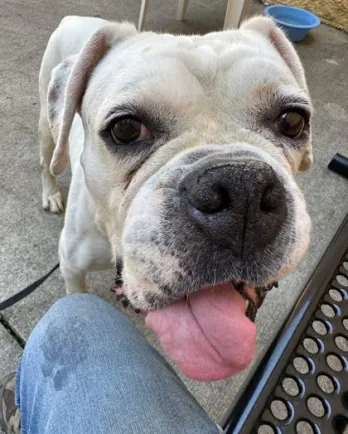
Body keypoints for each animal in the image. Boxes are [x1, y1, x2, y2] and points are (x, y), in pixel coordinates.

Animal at [38, 17, 312, 382]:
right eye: (126, 128)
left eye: (293, 120)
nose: (243, 187)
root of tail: (77, 19)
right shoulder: (72, 268)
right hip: (47, 125)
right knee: (48, 161)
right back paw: (51, 193)